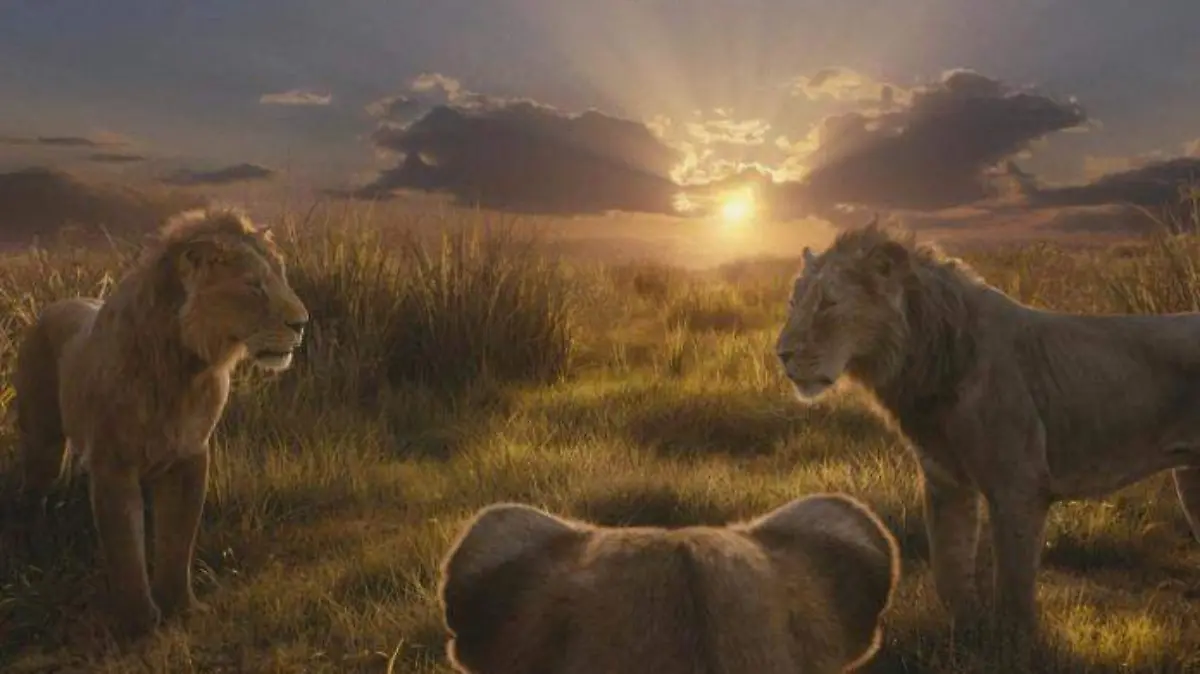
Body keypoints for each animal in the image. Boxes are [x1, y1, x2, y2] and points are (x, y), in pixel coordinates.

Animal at [12, 207, 309, 640]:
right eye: (253, 285)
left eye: (281, 277)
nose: (302, 323)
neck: (184, 368)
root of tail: (53, 305)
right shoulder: (113, 464)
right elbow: (125, 546)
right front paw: (138, 621)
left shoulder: (190, 456)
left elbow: (177, 539)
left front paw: (181, 607)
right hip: (42, 444)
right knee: (32, 493)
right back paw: (32, 548)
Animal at [775, 218, 1200, 638]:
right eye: (794, 303)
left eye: (828, 303)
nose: (781, 354)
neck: (924, 358)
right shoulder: (944, 479)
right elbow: (948, 567)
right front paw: (967, 630)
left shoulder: (1018, 483)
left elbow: (1013, 584)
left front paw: (1015, 642)